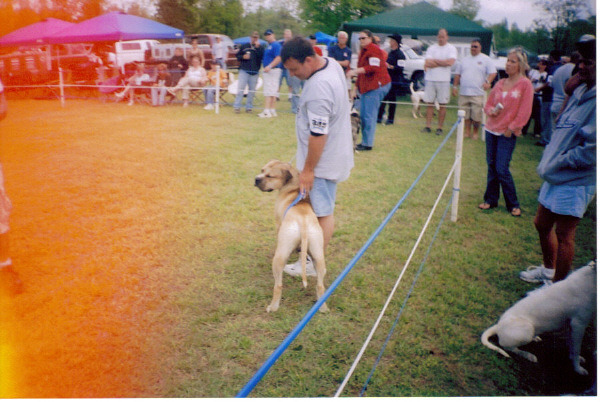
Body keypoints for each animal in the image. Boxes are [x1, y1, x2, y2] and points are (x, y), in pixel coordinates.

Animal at [254, 161, 328, 314]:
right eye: (262, 170)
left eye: (269, 176)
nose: (256, 179)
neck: (293, 187)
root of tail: (303, 222)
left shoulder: (278, 223)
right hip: (319, 255)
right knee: (320, 285)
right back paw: (323, 307)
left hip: (280, 257)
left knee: (278, 285)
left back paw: (273, 307)